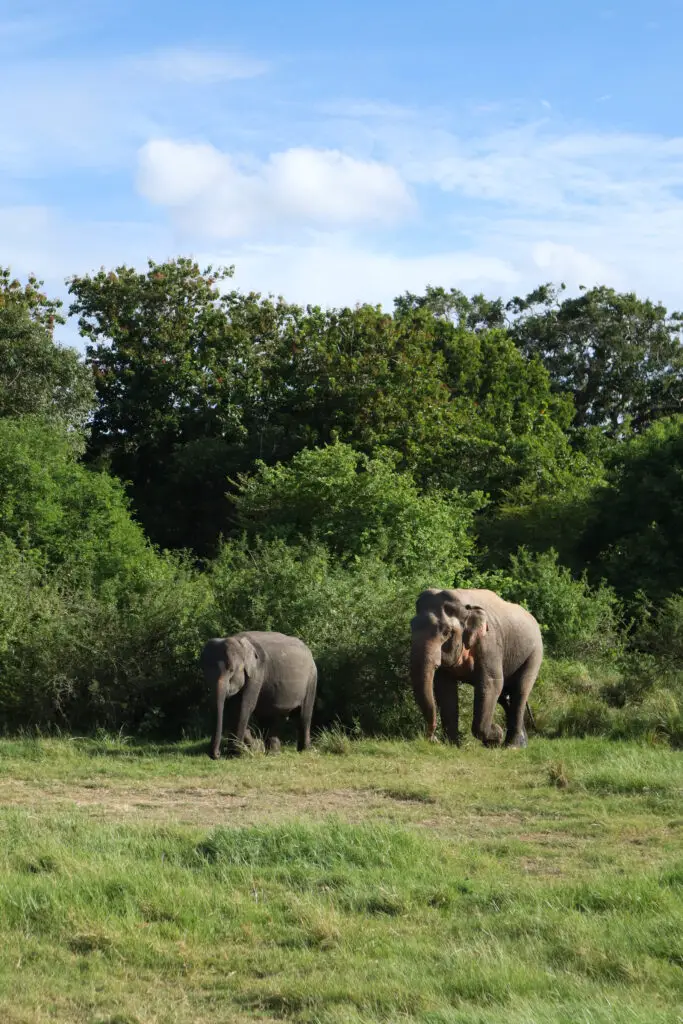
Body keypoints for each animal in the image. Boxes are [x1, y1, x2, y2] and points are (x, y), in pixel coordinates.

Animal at [201, 630, 319, 761]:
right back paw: (273, 753)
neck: (239, 642)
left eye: (231, 670)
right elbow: (233, 710)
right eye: (204, 673)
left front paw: (235, 754)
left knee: (304, 715)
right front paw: (252, 749)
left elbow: (243, 707)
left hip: (312, 679)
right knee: (270, 717)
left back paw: (304, 751)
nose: (217, 754)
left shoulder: (257, 673)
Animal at [411, 589, 544, 749]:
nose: (432, 738)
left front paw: (496, 735)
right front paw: (453, 745)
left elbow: (491, 683)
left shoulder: (489, 645)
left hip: (534, 654)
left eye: (446, 632)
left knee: (520, 691)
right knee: (505, 697)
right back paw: (519, 743)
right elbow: (445, 688)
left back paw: (513, 746)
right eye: (411, 626)